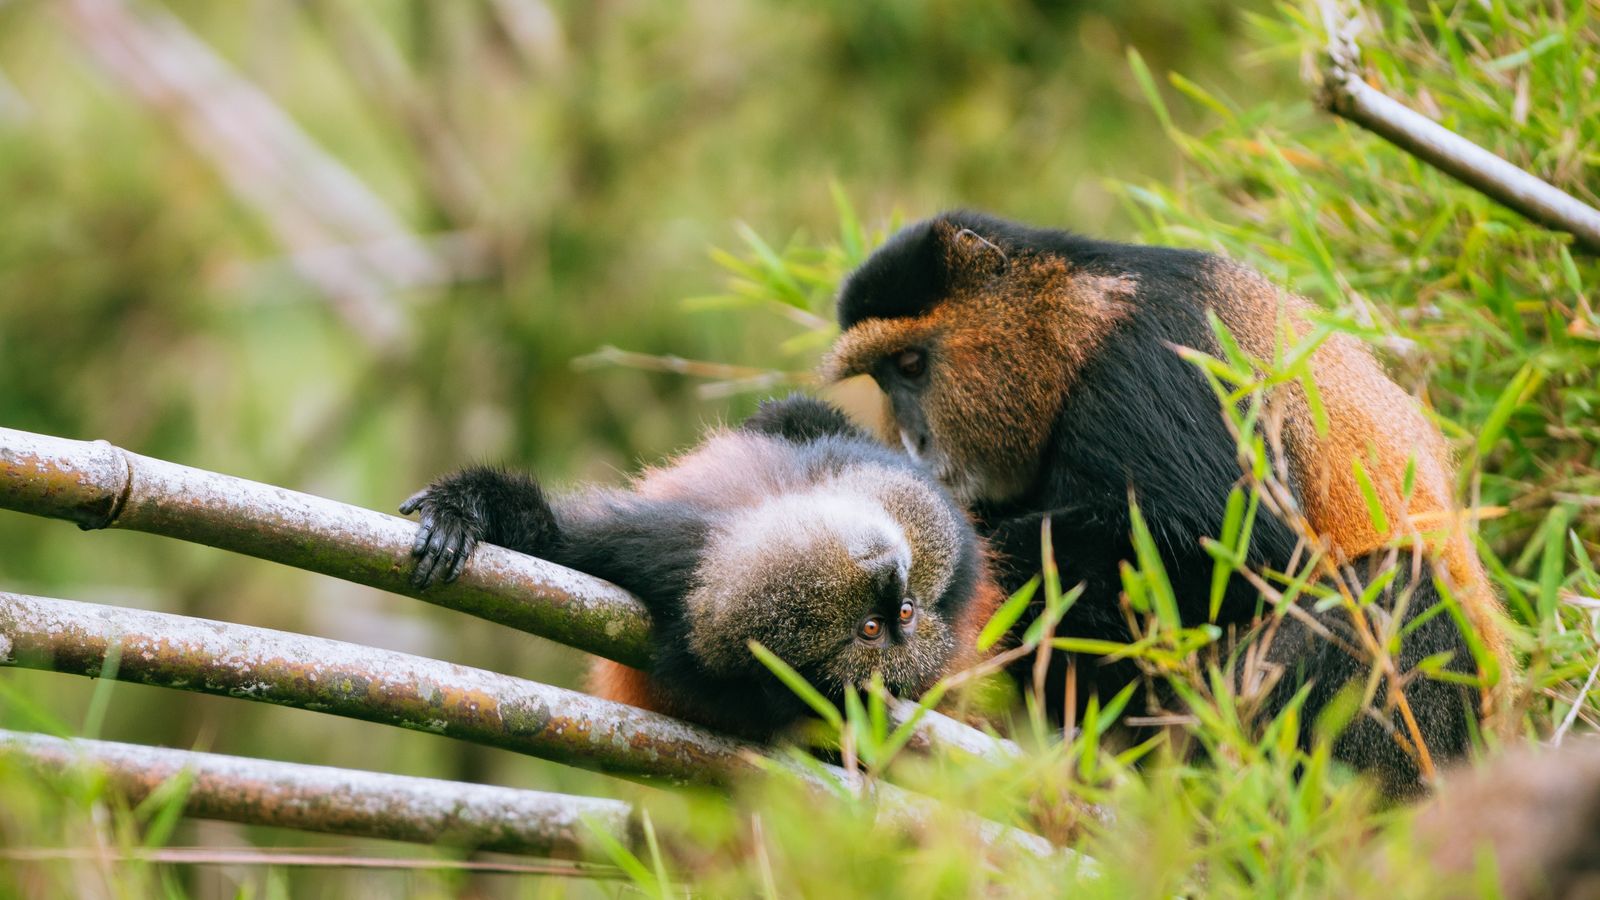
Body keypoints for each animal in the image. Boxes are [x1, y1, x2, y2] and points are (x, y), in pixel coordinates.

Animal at [399, 394, 1002, 739]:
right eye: (895, 616)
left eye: (881, 625)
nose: (894, 576)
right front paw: (463, 512)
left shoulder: (663, 560)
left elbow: (554, 539)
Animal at [823, 210, 1511, 796]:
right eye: (884, 377)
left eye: (912, 365)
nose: (912, 441)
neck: (1078, 322)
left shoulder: (1159, 359)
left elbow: (1238, 554)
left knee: (1400, 586)